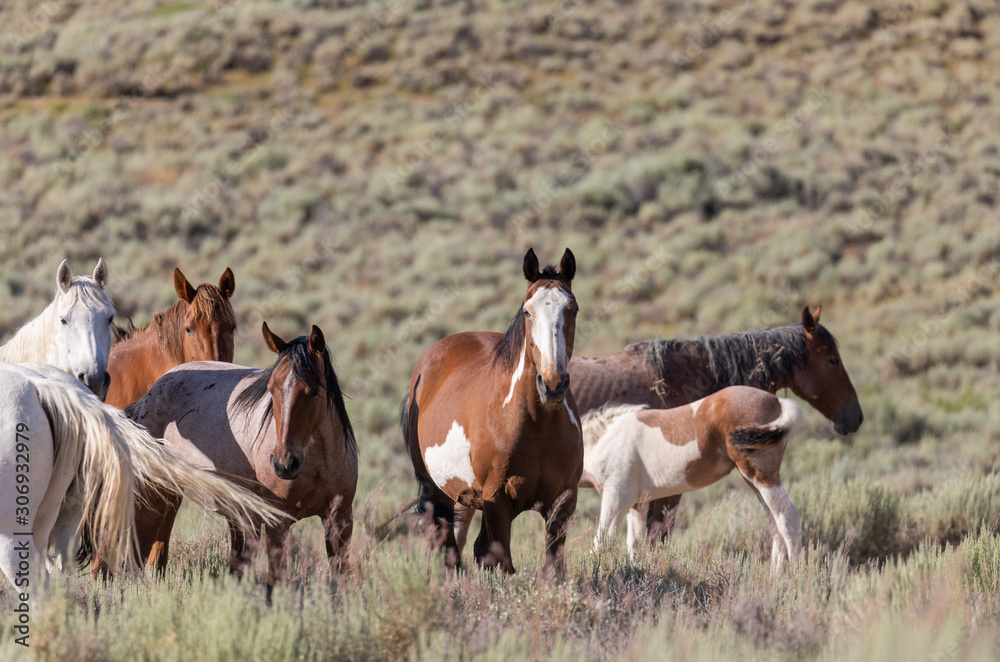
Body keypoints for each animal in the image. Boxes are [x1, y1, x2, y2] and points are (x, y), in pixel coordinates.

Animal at [129, 322, 357, 602]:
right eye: (271, 389)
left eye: (314, 392)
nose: (284, 463)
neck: (319, 463)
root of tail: (157, 386)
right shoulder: (277, 523)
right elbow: (276, 584)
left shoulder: (340, 520)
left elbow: (341, 583)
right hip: (153, 493)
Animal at [403, 248, 583, 575]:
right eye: (527, 312)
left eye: (573, 309)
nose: (552, 383)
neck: (536, 428)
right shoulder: (496, 501)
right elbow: (500, 562)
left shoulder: (563, 501)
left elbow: (553, 567)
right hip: (438, 492)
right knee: (448, 548)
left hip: (463, 497)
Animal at [584, 386, 803, 566]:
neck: (606, 439)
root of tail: (777, 401)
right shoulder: (637, 504)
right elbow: (635, 543)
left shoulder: (617, 498)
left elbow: (601, 541)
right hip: (752, 481)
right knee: (774, 523)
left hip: (763, 477)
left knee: (788, 518)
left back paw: (794, 577)